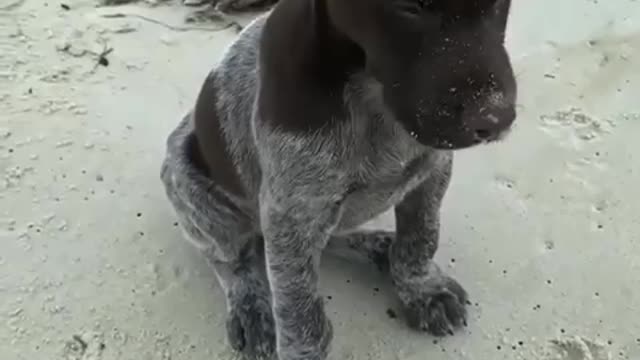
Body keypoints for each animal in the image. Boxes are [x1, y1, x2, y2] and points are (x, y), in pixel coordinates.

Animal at [159, 1, 516, 358]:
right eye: (408, 7)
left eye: (501, 4)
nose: (496, 120)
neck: (371, 95)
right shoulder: (294, 212)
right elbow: (300, 314)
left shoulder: (433, 169)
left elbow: (421, 237)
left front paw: (422, 287)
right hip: (188, 181)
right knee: (230, 260)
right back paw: (251, 309)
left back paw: (379, 245)